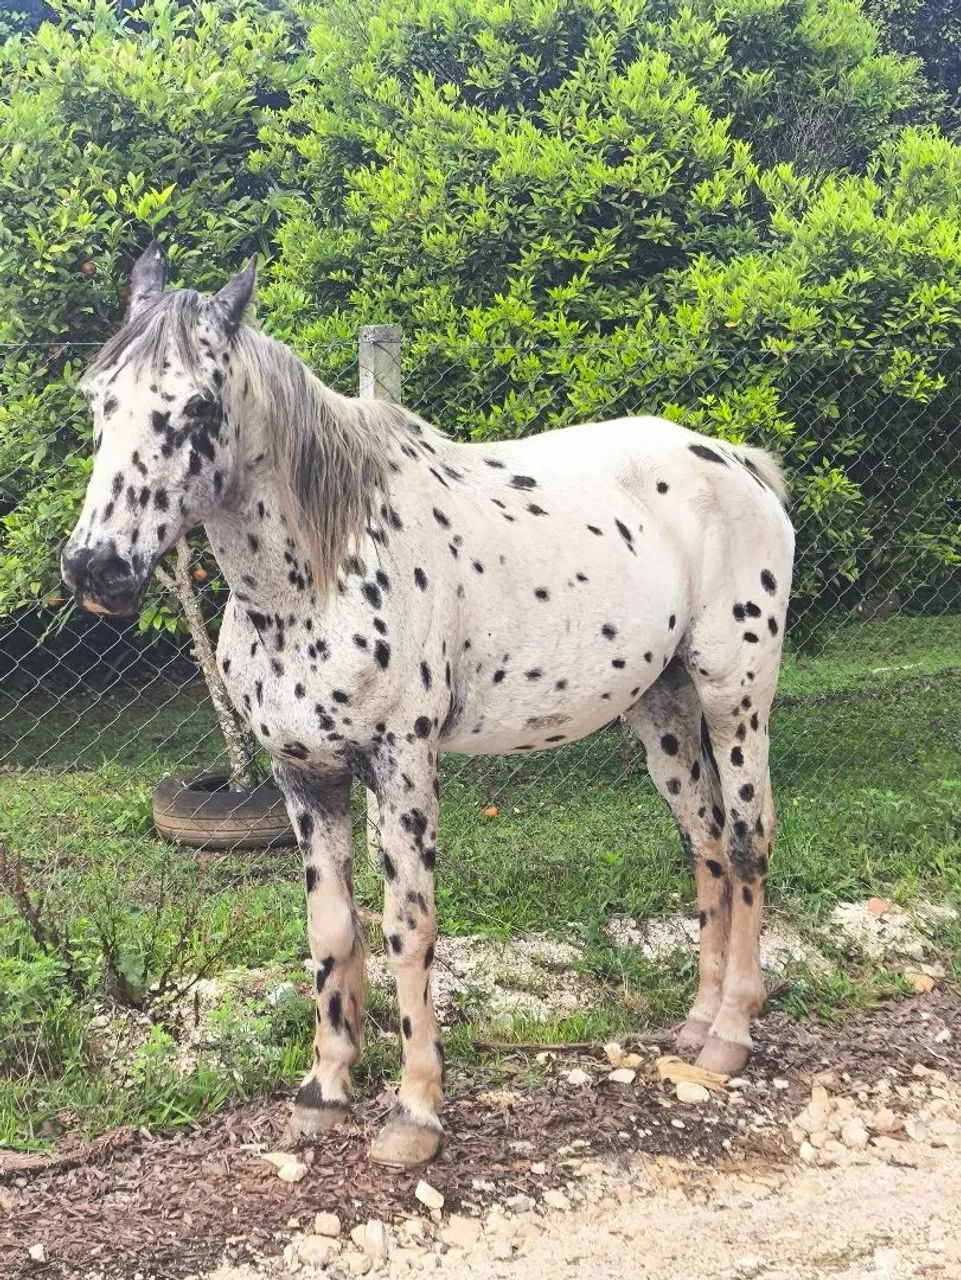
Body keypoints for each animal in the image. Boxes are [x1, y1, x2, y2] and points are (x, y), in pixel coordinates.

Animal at [62, 246, 794, 1167]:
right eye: (98, 396)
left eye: (197, 404)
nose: (96, 568)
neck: (316, 575)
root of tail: (734, 460)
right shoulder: (305, 777)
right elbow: (331, 930)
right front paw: (323, 1094)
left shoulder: (401, 767)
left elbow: (407, 928)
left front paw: (414, 1114)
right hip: (659, 712)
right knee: (701, 841)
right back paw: (695, 1027)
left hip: (735, 696)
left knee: (744, 841)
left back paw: (731, 1032)